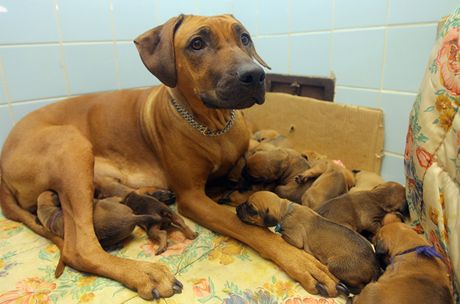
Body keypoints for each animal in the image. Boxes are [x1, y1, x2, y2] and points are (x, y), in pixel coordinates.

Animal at [0, 14, 338, 300]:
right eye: (197, 44)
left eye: (244, 38)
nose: (254, 75)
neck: (213, 126)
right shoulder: (193, 197)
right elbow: (248, 227)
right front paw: (301, 261)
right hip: (71, 146)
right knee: (80, 248)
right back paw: (143, 272)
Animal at [235, 190, 380, 294]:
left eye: (251, 209)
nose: (236, 208)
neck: (286, 210)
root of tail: (374, 265)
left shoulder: (295, 238)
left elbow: (282, 235)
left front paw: (278, 231)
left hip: (335, 265)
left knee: (359, 287)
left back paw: (344, 287)